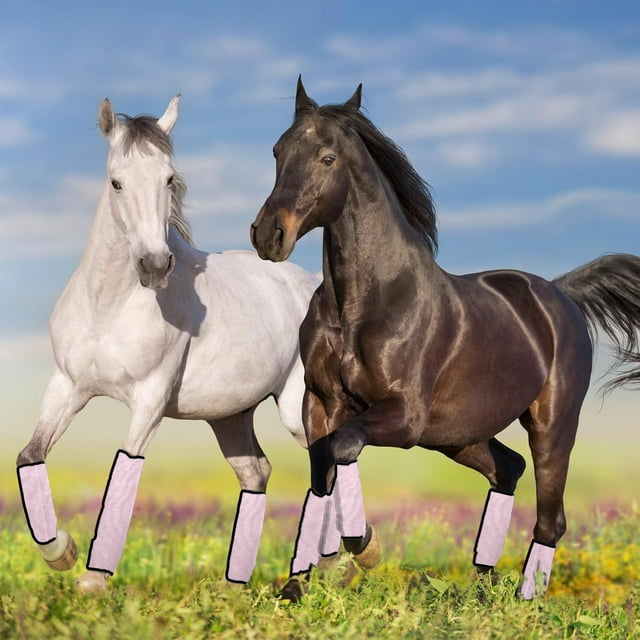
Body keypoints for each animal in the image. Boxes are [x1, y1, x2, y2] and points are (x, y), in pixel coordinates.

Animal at [16, 95, 335, 593]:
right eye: (117, 182)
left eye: (168, 178)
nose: (154, 265)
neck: (109, 305)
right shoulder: (67, 386)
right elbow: (29, 456)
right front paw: (61, 552)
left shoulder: (149, 398)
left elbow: (125, 469)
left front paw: (93, 578)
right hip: (229, 417)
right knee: (257, 472)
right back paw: (236, 584)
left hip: (296, 409)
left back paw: (340, 562)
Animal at [250, 77, 640, 602]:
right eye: (278, 151)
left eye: (327, 157)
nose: (268, 235)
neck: (363, 304)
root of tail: (560, 294)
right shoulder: (322, 405)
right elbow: (320, 476)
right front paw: (297, 586)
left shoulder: (403, 416)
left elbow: (345, 448)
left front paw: (363, 546)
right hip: (456, 435)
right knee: (508, 468)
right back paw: (485, 586)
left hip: (552, 425)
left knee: (550, 518)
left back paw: (524, 599)